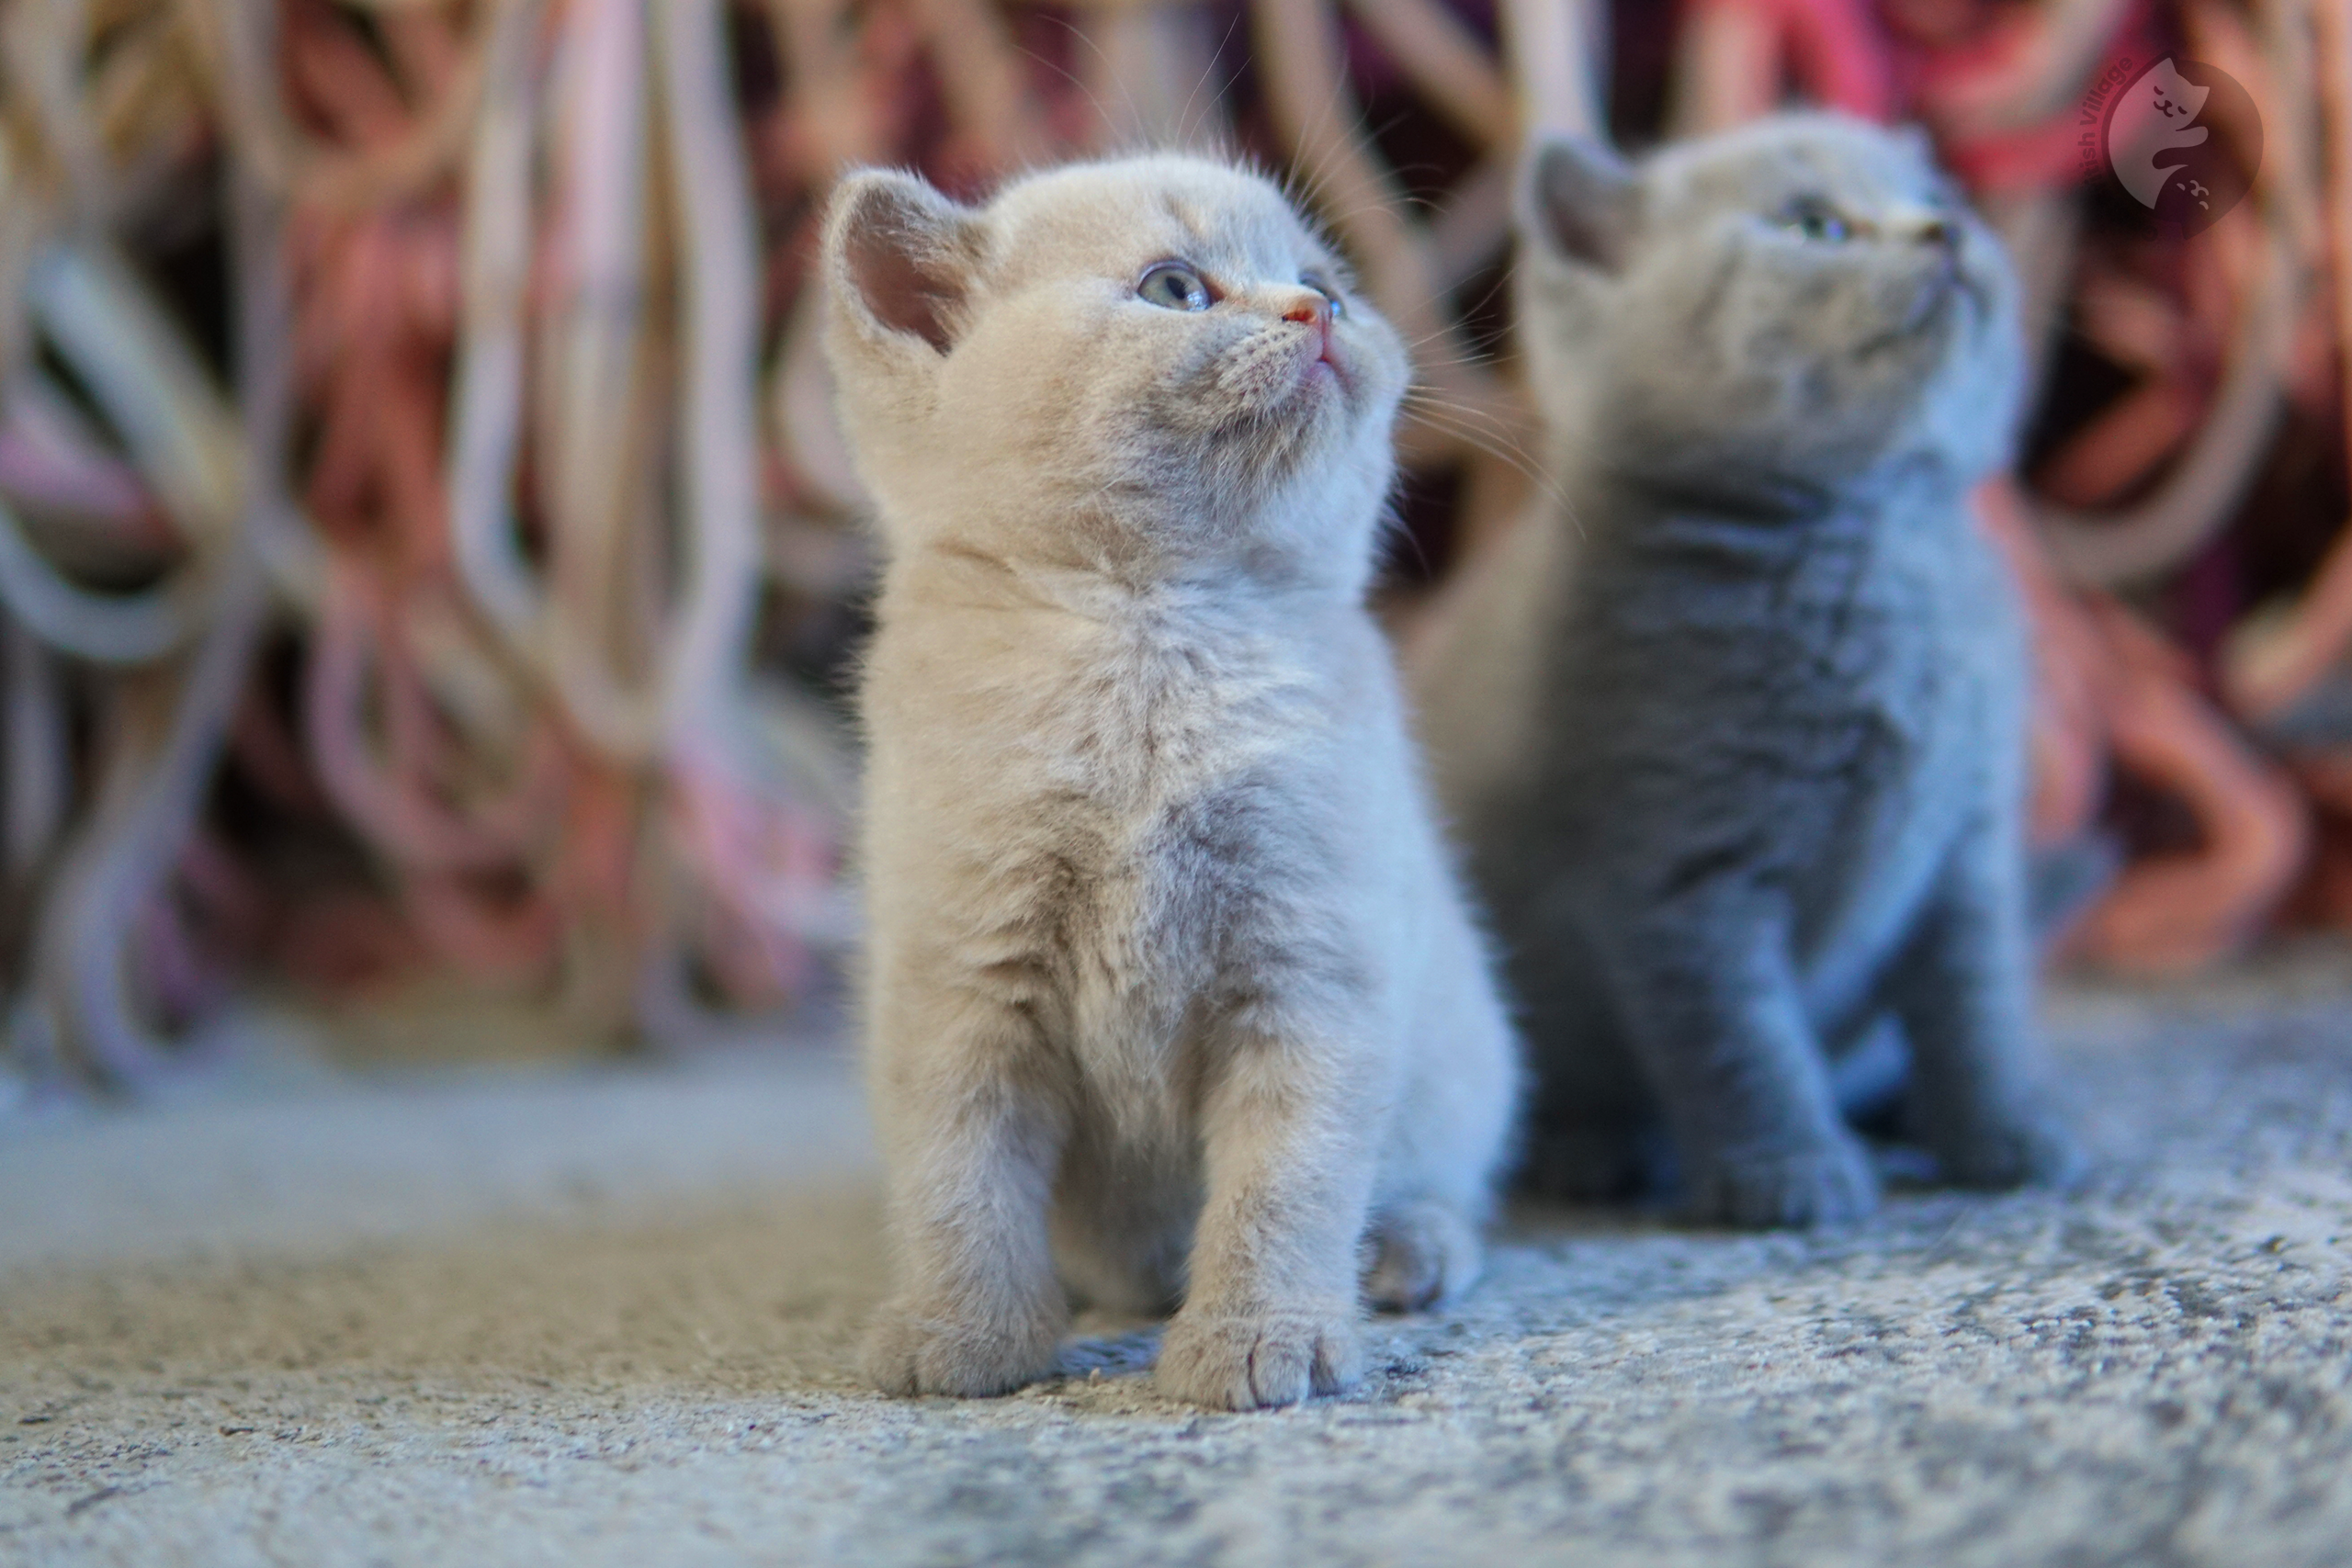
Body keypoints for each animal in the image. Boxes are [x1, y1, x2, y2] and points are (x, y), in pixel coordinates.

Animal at [828, 156, 1523, 1410]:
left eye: (1324, 282)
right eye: (1173, 288)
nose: (1313, 315)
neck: (1153, 636)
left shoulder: (1311, 970)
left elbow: (1284, 1182)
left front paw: (1259, 1340)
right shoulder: (957, 979)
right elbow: (960, 1170)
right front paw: (963, 1332)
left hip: (1462, 1056)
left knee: (1443, 1181)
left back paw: (1406, 1252)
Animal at [1411, 116, 2079, 1232]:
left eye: (1939, 198)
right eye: (1812, 225)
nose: (1942, 234)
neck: (1865, 542)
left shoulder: (1970, 846)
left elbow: (1976, 1004)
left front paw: (2004, 1133)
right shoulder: (1680, 876)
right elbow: (1739, 1041)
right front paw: (1787, 1172)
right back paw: (1590, 1150)